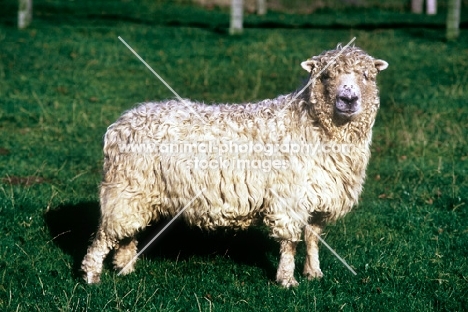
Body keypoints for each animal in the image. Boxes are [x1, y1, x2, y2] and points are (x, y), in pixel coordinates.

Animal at [80, 44, 388, 288]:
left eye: (367, 76)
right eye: (325, 76)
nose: (348, 99)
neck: (311, 123)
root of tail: (122, 122)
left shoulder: (319, 196)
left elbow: (312, 238)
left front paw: (314, 273)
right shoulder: (288, 198)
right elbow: (290, 242)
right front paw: (287, 280)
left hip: (139, 194)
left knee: (126, 234)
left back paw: (125, 268)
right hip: (125, 188)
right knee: (105, 236)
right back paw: (92, 276)